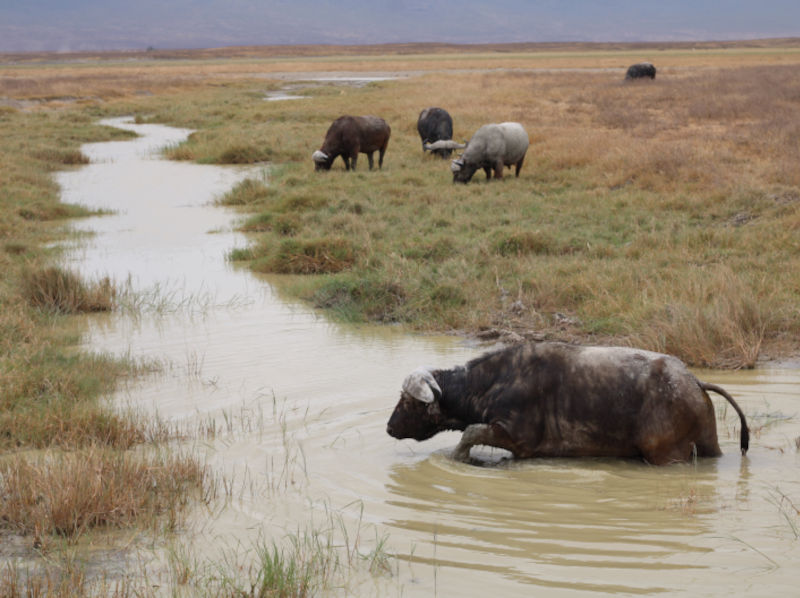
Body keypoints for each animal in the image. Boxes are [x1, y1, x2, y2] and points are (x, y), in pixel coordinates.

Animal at [388, 342, 752, 468]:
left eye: (407, 401)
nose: (390, 427)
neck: (494, 382)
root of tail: (693, 381)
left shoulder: (517, 437)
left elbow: (471, 432)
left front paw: (458, 457)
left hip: (666, 455)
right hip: (709, 446)